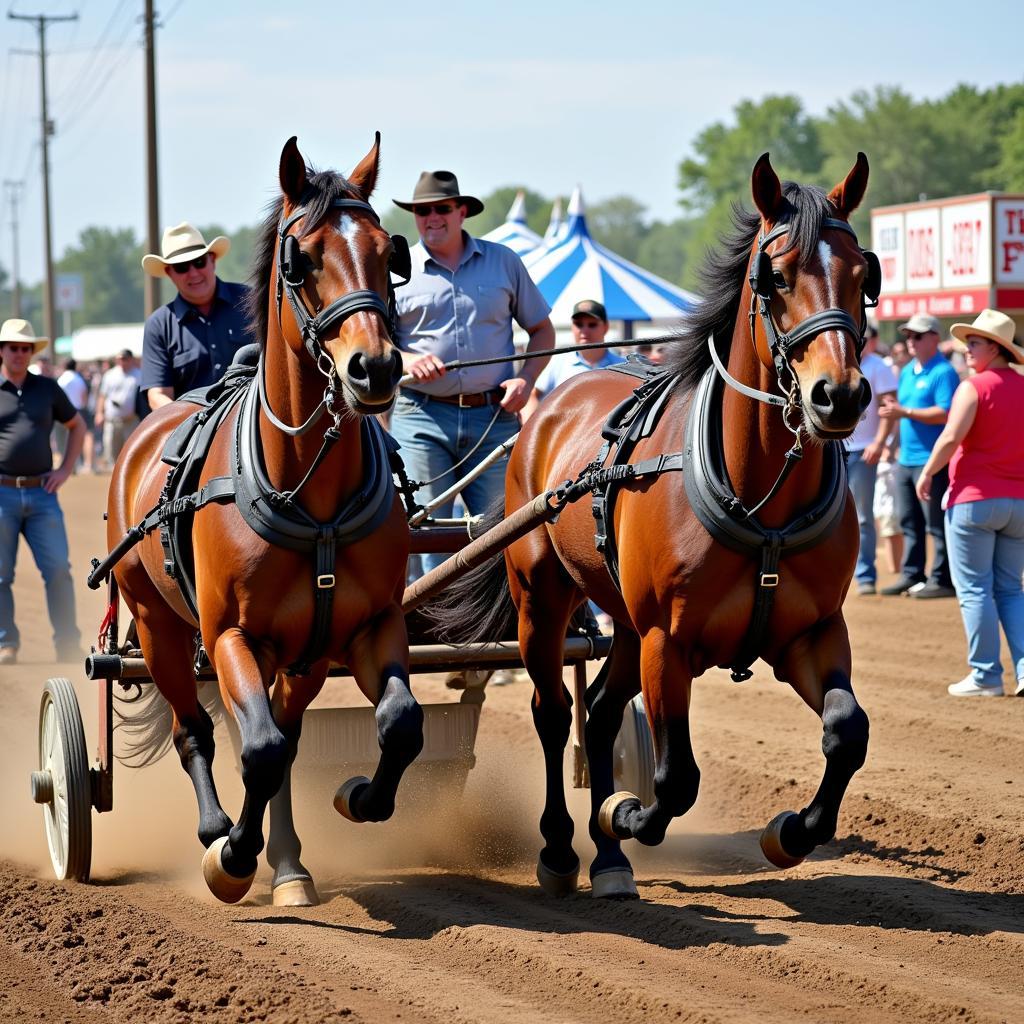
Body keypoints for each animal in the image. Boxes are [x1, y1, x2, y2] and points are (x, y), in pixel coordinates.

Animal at [108, 138, 419, 905]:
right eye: (301, 258)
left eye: (388, 252)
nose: (374, 368)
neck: (311, 494)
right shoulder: (230, 636)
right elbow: (258, 748)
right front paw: (232, 856)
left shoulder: (365, 628)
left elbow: (398, 723)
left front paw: (359, 797)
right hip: (159, 627)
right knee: (196, 729)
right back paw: (219, 830)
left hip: (300, 655)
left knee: (283, 728)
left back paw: (289, 862)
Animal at [430, 151, 872, 897]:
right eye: (777, 275)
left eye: (865, 275)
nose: (837, 396)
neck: (763, 505)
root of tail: (550, 404)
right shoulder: (671, 639)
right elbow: (675, 779)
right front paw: (624, 813)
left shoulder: (812, 633)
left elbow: (847, 731)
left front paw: (790, 833)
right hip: (544, 597)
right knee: (556, 712)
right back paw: (561, 847)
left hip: (624, 618)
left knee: (601, 712)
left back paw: (609, 861)